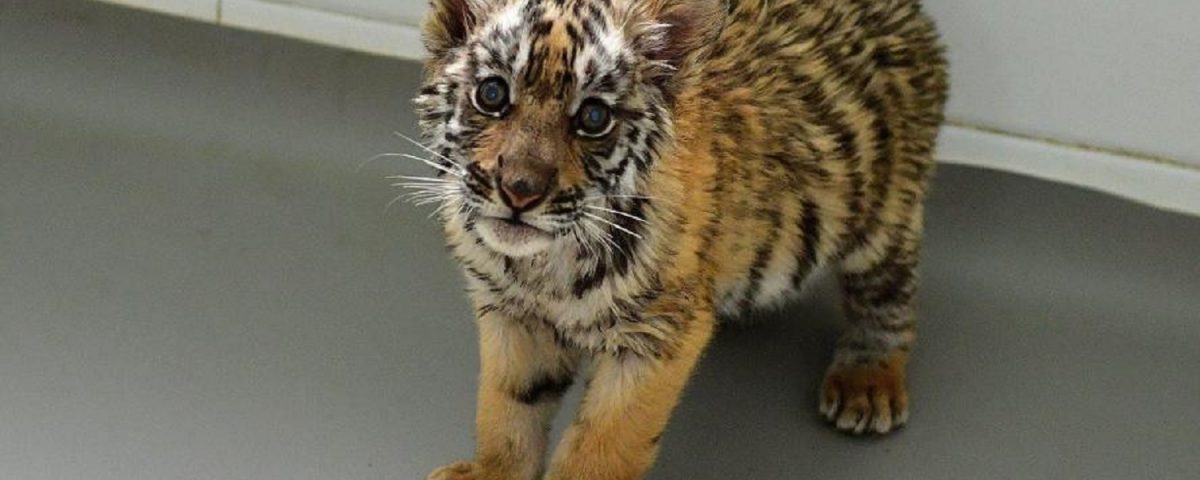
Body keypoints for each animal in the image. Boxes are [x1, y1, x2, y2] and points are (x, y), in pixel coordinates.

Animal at [409, 0, 949, 478]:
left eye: (593, 118)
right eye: (492, 95)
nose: (520, 190)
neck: (542, 265)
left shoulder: (656, 333)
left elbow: (602, 444)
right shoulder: (511, 314)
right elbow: (507, 411)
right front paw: (490, 471)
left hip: (883, 212)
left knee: (890, 294)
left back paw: (867, 381)